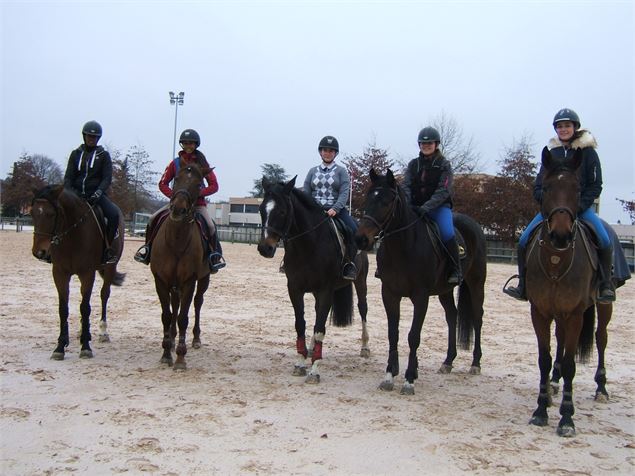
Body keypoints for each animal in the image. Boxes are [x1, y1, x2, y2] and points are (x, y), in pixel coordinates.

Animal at [31, 184, 126, 358]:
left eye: (51, 214)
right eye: (32, 213)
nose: (39, 252)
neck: (72, 234)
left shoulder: (87, 273)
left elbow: (85, 307)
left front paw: (86, 347)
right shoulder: (60, 273)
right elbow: (64, 308)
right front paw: (60, 347)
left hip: (110, 267)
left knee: (104, 295)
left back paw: (103, 332)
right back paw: (83, 330)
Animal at [150, 162, 210, 370]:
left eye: (199, 184)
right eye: (175, 178)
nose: (178, 209)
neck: (176, 240)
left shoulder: (189, 281)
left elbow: (183, 317)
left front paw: (180, 357)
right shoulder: (160, 280)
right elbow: (167, 315)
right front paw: (166, 353)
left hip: (203, 279)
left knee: (198, 303)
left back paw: (195, 339)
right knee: (174, 307)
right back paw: (173, 337)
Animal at [256, 176, 370, 384]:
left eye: (282, 211)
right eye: (261, 210)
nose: (264, 248)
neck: (308, 245)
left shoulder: (325, 290)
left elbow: (319, 329)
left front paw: (314, 370)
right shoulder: (295, 289)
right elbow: (301, 324)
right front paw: (301, 363)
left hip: (360, 282)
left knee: (362, 308)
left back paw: (365, 347)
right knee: (318, 315)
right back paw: (310, 349)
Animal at [352, 169, 486, 396]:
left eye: (386, 202)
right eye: (368, 199)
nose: (361, 239)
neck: (403, 246)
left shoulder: (421, 296)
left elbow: (413, 336)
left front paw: (408, 379)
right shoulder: (389, 294)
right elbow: (393, 334)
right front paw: (390, 375)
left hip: (476, 283)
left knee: (477, 318)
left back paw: (475, 363)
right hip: (444, 291)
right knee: (452, 316)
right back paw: (448, 361)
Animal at [520, 147, 600, 436]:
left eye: (577, 188)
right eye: (547, 187)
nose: (561, 236)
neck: (556, 262)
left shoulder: (575, 314)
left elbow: (569, 363)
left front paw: (567, 418)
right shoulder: (540, 312)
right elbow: (545, 358)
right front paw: (541, 410)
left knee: (600, 338)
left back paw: (601, 388)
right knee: (561, 339)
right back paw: (554, 385)